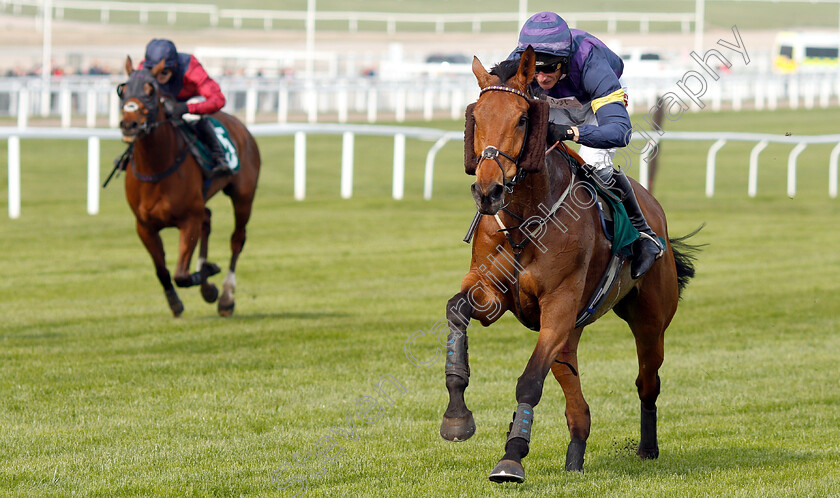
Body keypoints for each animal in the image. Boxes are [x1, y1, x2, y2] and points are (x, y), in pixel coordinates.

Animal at [118, 57, 260, 316]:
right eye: (122, 90)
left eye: (150, 91)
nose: (129, 124)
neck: (155, 169)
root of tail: (239, 124)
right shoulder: (144, 225)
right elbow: (163, 270)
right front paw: (176, 301)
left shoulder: (188, 219)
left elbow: (182, 275)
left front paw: (210, 280)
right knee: (208, 218)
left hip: (243, 196)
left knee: (237, 239)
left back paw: (226, 296)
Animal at [436, 46, 700, 482]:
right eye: (478, 116)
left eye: (522, 118)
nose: (488, 191)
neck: (527, 217)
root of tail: (654, 207)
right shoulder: (493, 293)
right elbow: (456, 311)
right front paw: (457, 416)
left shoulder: (559, 304)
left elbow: (529, 380)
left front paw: (512, 456)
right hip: (571, 333)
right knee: (575, 396)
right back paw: (575, 454)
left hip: (649, 320)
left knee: (647, 382)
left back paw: (647, 448)